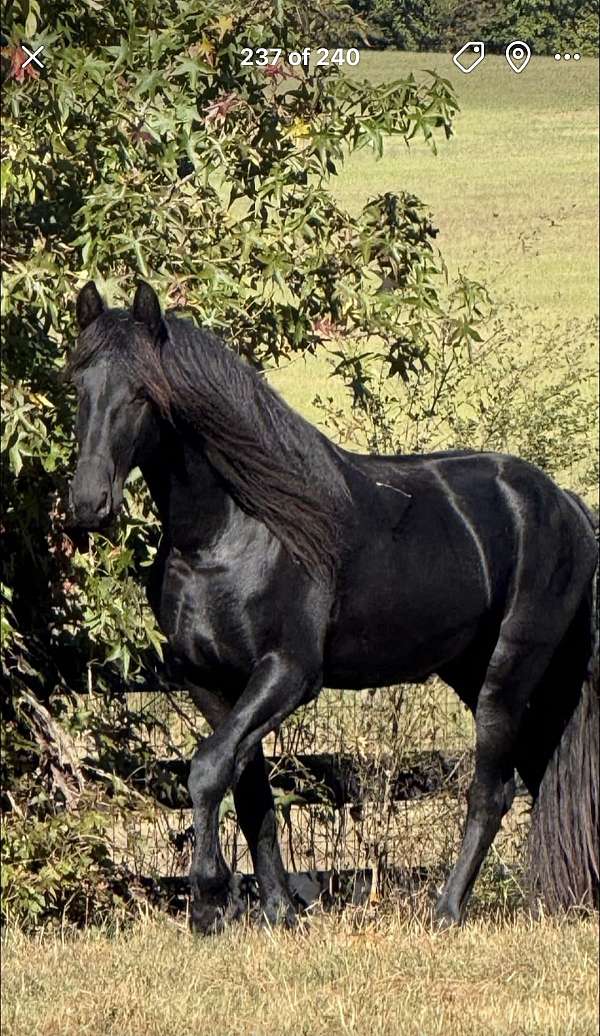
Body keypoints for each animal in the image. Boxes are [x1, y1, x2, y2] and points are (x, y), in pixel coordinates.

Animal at [66, 280, 599, 933]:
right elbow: (248, 789)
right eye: (79, 385)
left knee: (490, 791)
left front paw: (210, 900)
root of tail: (564, 502)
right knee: (532, 775)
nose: (88, 503)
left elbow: (208, 769)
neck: (230, 532)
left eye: (142, 393)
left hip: (509, 671)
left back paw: (446, 912)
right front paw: (276, 912)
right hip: (476, 672)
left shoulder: (288, 673)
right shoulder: (209, 681)